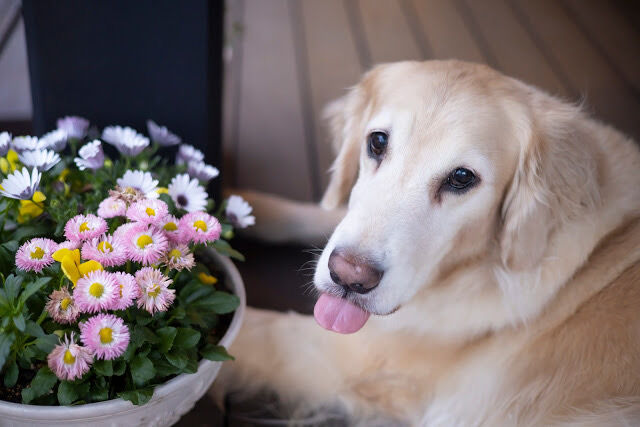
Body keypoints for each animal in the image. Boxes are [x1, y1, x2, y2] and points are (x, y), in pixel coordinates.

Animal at [215, 61, 640, 427]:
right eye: (378, 142)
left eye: (462, 178)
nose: (349, 276)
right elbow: (322, 213)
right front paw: (236, 205)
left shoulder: (353, 357)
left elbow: (251, 330)